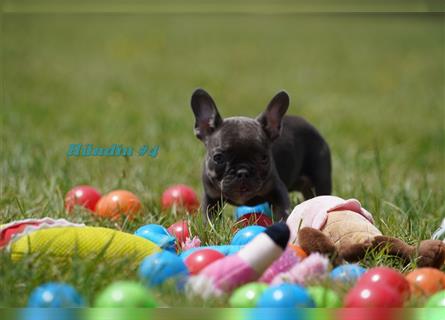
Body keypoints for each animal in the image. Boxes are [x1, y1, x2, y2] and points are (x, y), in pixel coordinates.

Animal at [189, 89, 332, 221]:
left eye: (264, 158)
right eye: (218, 158)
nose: (242, 172)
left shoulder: (278, 191)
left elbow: (282, 214)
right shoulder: (211, 199)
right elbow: (211, 219)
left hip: (320, 178)